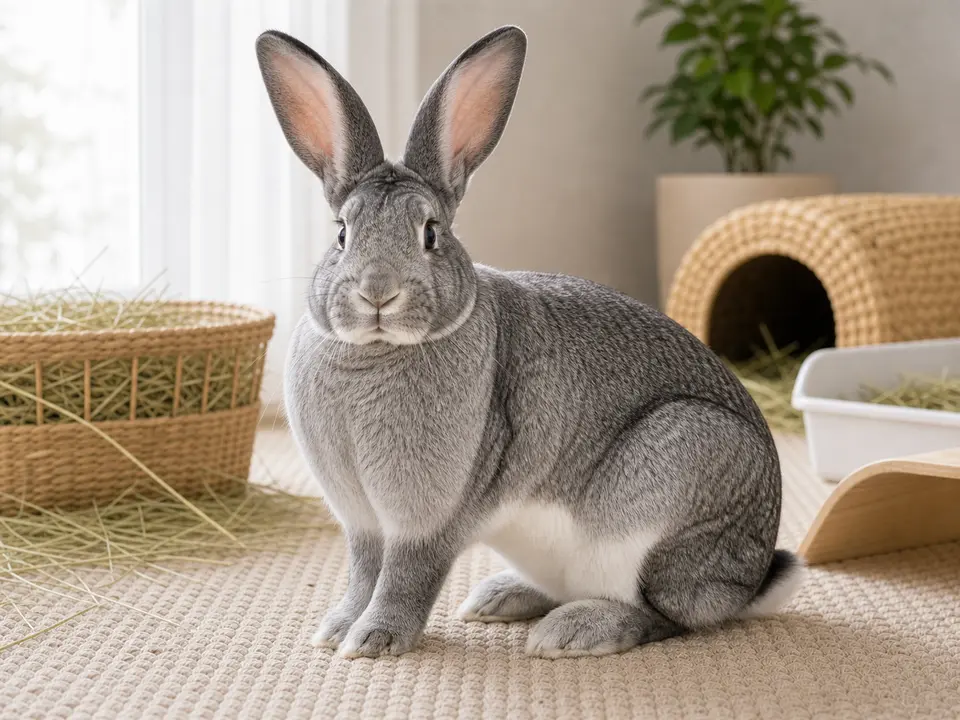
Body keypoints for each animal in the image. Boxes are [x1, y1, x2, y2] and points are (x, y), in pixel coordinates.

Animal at [256, 25, 805, 659]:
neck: (375, 350)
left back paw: (571, 633)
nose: (377, 293)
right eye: (342, 234)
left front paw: (374, 640)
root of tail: (753, 578)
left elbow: (406, 577)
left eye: (431, 234)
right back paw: (498, 599)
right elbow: (363, 572)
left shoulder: (429, 519)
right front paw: (336, 629)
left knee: (665, 615)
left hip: (670, 488)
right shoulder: (363, 522)